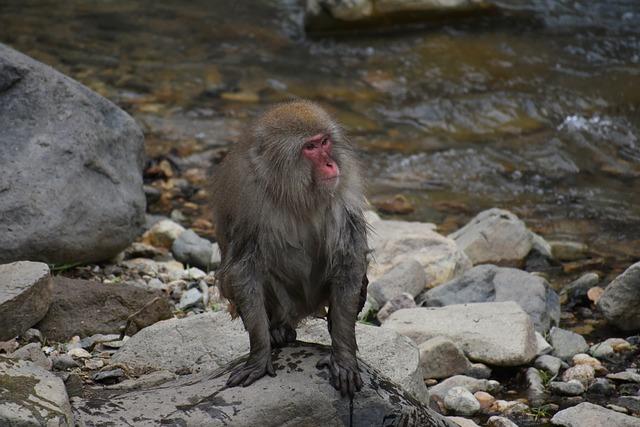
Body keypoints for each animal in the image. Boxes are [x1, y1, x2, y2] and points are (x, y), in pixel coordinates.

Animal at [212, 100, 368, 398]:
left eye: (325, 142)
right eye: (310, 147)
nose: (331, 164)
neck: (292, 191)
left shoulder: (342, 194)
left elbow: (348, 261)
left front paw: (343, 357)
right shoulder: (248, 203)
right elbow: (243, 272)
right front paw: (259, 355)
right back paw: (276, 331)